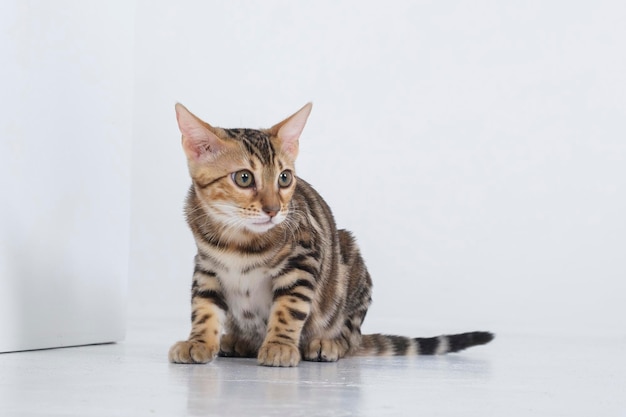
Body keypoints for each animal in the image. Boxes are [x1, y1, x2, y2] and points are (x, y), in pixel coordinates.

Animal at [167, 102, 492, 366]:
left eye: (284, 178)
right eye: (244, 178)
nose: (273, 210)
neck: (238, 239)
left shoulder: (303, 259)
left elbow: (289, 309)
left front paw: (280, 345)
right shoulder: (207, 266)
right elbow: (204, 307)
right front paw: (198, 342)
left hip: (352, 263)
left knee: (349, 335)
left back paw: (326, 343)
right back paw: (238, 340)